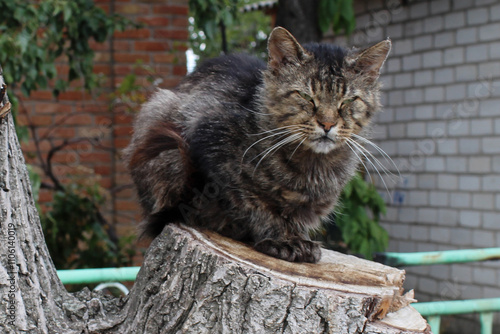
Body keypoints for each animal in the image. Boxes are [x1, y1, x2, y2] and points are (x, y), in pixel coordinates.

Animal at [124, 27, 390, 264]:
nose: (327, 123)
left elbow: (294, 217)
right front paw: (282, 240)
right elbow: (254, 204)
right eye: (305, 97)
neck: (310, 166)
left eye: (348, 101)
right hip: (162, 126)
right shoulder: (212, 148)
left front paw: (297, 236)